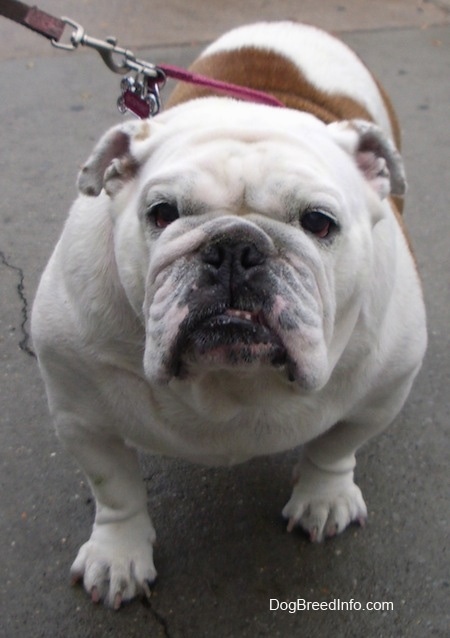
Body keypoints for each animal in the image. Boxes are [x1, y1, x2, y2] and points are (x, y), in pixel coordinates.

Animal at [30, 21, 426, 608]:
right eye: (162, 213)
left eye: (320, 222)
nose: (236, 247)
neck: (231, 383)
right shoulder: (81, 414)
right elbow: (114, 486)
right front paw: (118, 555)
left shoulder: (381, 393)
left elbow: (336, 446)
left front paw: (323, 497)